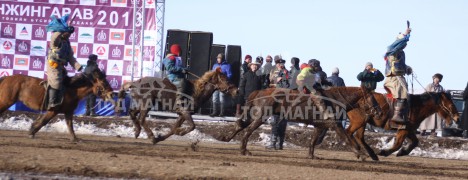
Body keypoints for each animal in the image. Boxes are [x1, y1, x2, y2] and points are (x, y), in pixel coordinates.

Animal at [218, 86, 382, 160]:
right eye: (372, 97)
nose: (378, 111)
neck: (333, 100)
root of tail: (259, 92)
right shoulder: (335, 125)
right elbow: (347, 138)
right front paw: (361, 154)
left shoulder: (320, 126)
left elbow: (313, 141)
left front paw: (311, 155)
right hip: (260, 117)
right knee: (247, 130)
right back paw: (244, 150)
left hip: (255, 116)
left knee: (240, 125)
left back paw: (227, 139)